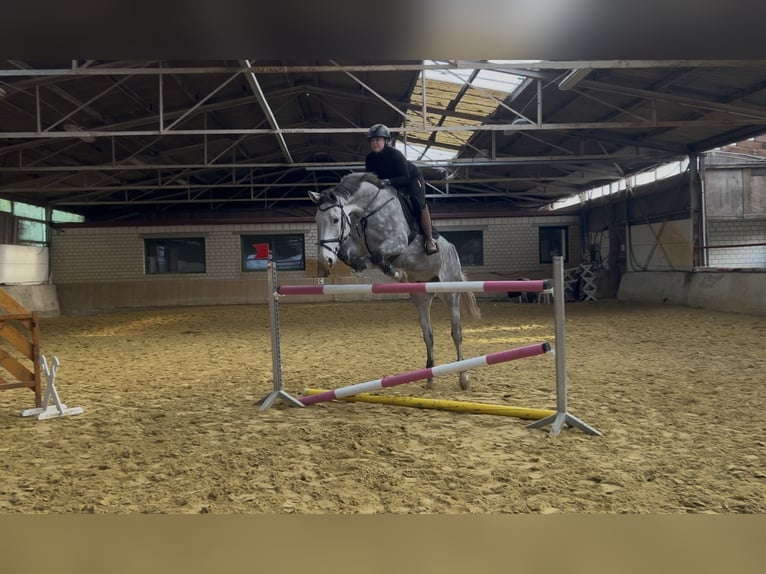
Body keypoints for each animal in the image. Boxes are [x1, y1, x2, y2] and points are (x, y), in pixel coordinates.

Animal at [308, 172, 482, 390]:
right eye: (317, 220)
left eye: (335, 219)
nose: (325, 260)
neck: (368, 211)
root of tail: (453, 251)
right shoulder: (359, 246)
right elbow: (352, 255)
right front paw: (366, 265)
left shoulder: (398, 243)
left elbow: (378, 255)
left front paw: (394, 272)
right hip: (421, 296)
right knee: (428, 335)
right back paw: (430, 377)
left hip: (450, 293)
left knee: (456, 332)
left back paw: (463, 377)